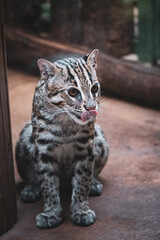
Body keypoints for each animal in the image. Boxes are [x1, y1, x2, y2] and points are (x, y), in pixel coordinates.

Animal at [15, 49, 109, 229]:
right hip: (25, 136)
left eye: (95, 88)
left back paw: (94, 183)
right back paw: (31, 189)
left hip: (100, 139)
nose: (92, 108)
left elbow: (82, 182)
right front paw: (50, 213)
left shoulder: (86, 148)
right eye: (72, 92)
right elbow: (48, 185)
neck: (65, 121)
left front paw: (81, 211)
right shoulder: (43, 151)